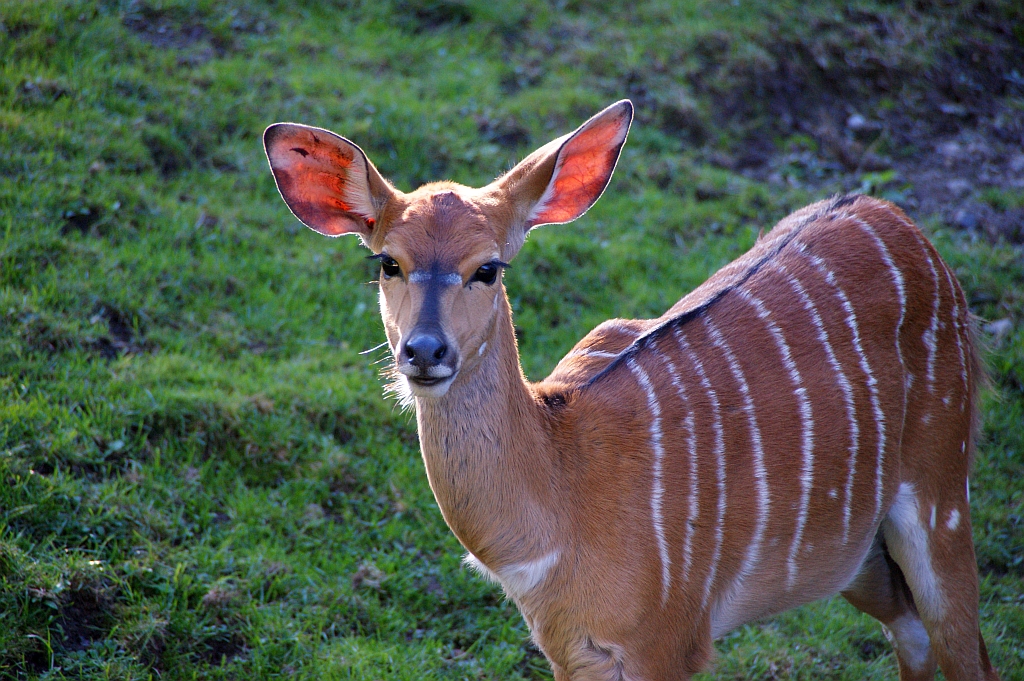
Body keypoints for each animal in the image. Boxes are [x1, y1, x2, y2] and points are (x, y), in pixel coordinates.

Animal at [264, 98, 999, 675]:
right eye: (389, 262)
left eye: (488, 269)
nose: (424, 351)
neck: (561, 501)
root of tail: (905, 226)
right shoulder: (570, 647)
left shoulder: (667, 640)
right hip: (860, 558)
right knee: (911, 633)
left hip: (941, 493)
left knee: (965, 646)